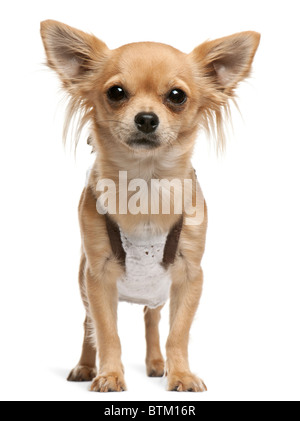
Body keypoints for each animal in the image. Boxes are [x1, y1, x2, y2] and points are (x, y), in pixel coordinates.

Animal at [40, 21, 260, 392]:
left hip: (156, 292)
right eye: (116, 92)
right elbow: (107, 333)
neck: (146, 183)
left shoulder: (189, 275)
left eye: (177, 96)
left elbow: (177, 334)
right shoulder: (97, 277)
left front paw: (181, 374)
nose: (146, 118)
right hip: (84, 286)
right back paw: (85, 367)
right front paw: (109, 375)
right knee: (88, 327)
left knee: (152, 319)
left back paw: (157, 363)